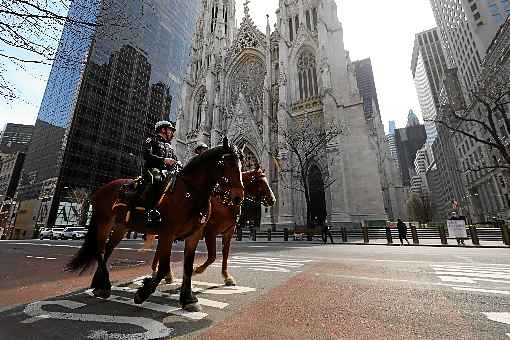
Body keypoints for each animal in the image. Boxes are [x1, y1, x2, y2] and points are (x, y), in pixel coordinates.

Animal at [66, 137, 245, 310]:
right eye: (225, 164)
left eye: (241, 164)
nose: (238, 197)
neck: (190, 192)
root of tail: (101, 189)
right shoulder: (167, 233)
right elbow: (163, 267)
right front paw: (143, 293)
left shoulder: (194, 235)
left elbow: (187, 267)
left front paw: (188, 299)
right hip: (104, 222)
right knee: (99, 249)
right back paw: (105, 286)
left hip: (121, 227)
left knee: (107, 250)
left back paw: (99, 284)